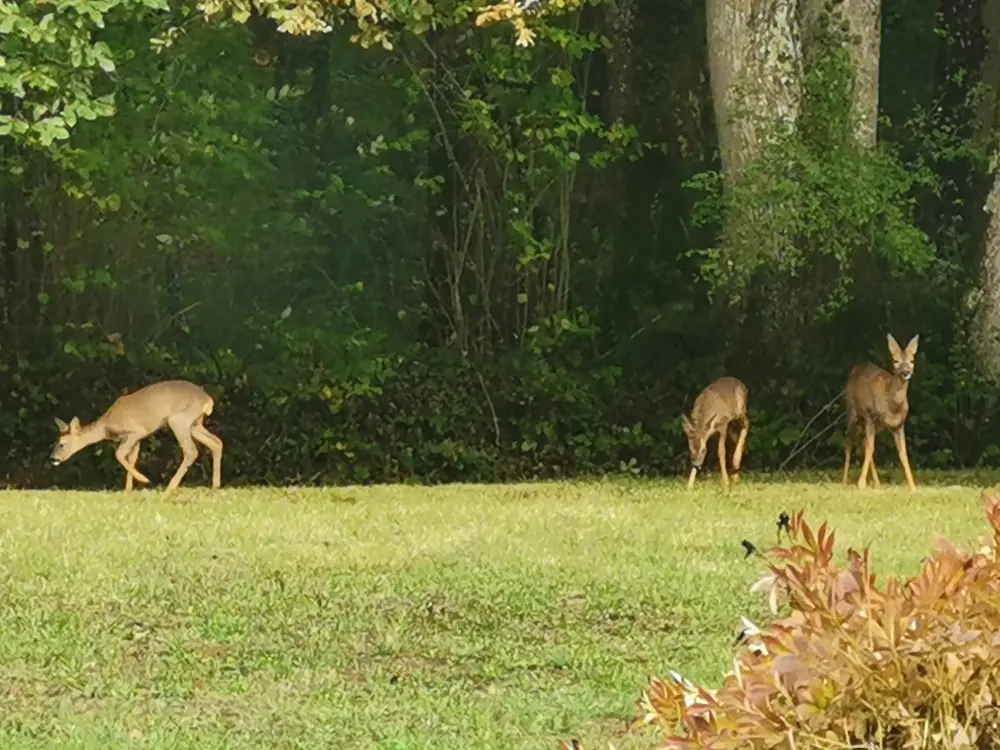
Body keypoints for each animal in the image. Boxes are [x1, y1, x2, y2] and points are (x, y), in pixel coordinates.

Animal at [51, 382, 224, 494]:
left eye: (62, 444)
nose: (53, 458)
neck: (106, 427)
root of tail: (208, 400)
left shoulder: (135, 432)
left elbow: (119, 454)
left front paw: (144, 480)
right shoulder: (135, 439)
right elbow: (131, 458)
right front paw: (128, 489)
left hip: (179, 420)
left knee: (191, 451)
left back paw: (171, 486)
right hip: (195, 423)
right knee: (216, 443)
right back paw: (215, 485)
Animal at [840, 334, 916, 494]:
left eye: (912, 360)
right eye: (895, 360)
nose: (906, 372)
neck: (893, 406)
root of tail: (857, 367)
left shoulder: (899, 425)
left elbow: (903, 453)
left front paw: (913, 486)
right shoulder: (870, 417)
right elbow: (870, 448)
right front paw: (861, 484)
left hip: (876, 426)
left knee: (864, 442)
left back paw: (877, 483)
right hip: (852, 412)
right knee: (849, 442)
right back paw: (844, 482)